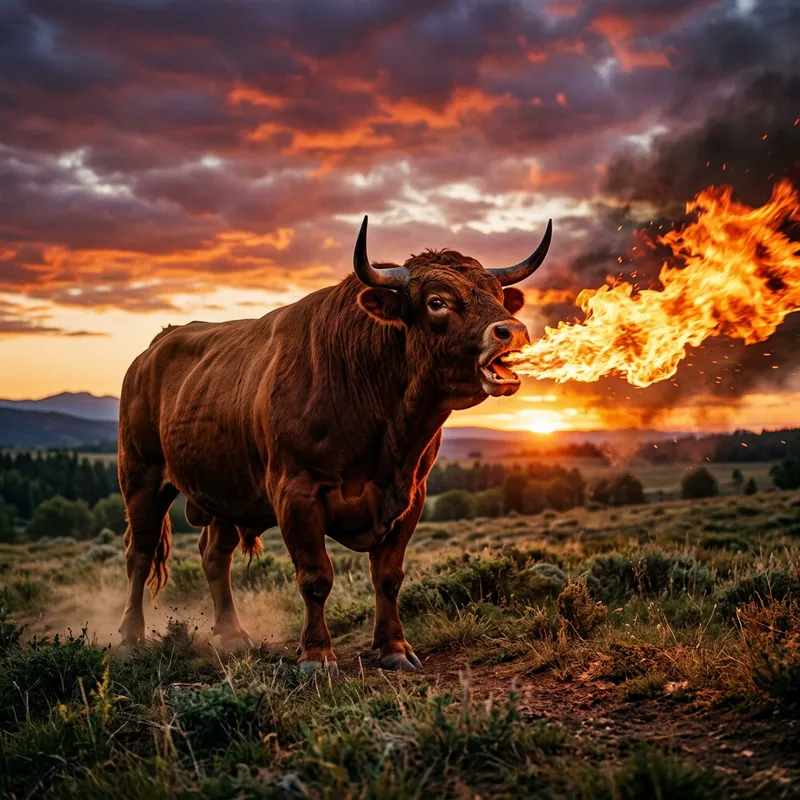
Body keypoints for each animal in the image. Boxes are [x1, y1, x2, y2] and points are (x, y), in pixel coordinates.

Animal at [117, 217, 552, 672]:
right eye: (437, 302)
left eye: (498, 295)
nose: (513, 332)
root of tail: (154, 348)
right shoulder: (296, 492)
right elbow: (315, 576)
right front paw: (316, 654)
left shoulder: (411, 496)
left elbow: (388, 576)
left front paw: (394, 648)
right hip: (141, 477)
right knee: (139, 552)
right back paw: (131, 638)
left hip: (225, 490)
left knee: (214, 554)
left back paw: (233, 634)